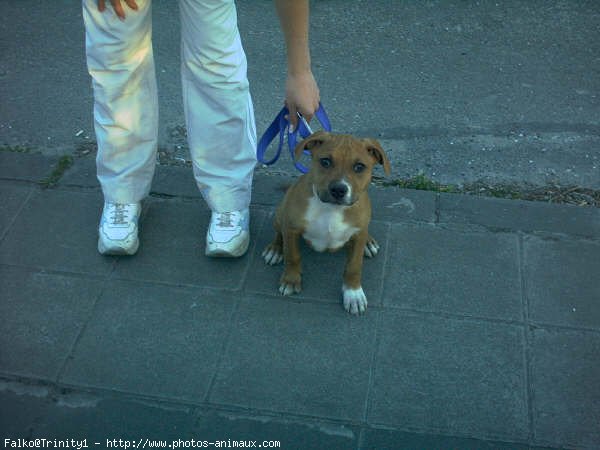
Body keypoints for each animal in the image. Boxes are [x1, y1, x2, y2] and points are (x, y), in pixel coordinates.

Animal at [262, 130, 392, 312]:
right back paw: (275, 249)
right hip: (281, 213)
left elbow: (354, 266)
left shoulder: (357, 237)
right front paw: (291, 280)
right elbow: (292, 256)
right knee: (279, 232)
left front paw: (353, 293)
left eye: (359, 167)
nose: (338, 189)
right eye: (325, 162)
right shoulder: (292, 229)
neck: (332, 209)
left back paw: (369, 242)